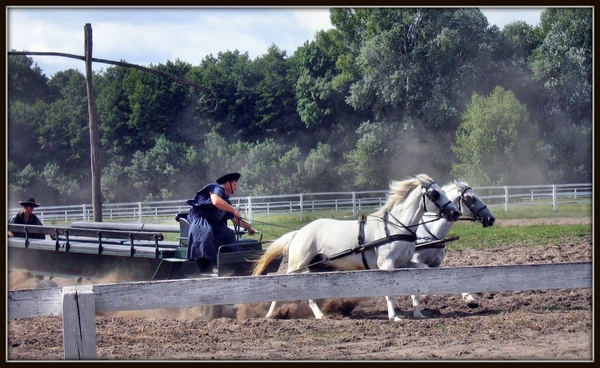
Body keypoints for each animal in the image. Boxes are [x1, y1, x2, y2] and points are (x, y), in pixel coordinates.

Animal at [251, 174, 462, 320]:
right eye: (435, 193)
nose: (455, 212)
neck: (396, 227)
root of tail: (299, 232)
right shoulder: (386, 265)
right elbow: (390, 291)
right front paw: (394, 316)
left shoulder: (404, 264)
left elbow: (421, 273)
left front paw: (419, 311)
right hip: (297, 265)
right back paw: (270, 315)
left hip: (315, 268)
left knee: (309, 294)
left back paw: (319, 315)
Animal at [410, 180, 500, 318]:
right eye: (470, 198)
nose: (491, 219)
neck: (432, 234)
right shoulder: (415, 262)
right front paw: (419, 306)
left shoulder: (436, 264)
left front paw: (470, 300)